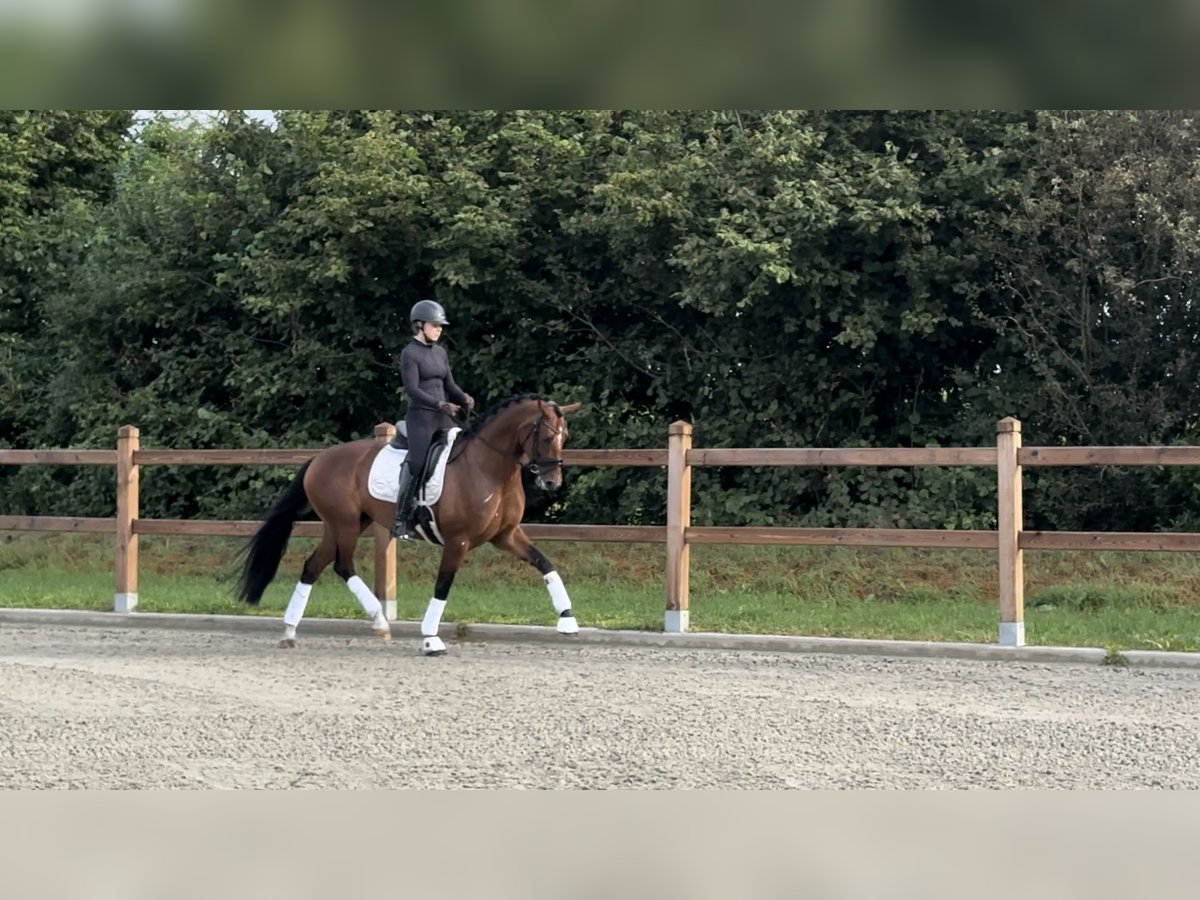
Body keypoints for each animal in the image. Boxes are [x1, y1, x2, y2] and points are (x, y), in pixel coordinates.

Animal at [232, 393, 580, 657]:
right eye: (546, 436)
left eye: (565, 437)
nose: (552, 482)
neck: (488, 468)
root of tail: (319, 459)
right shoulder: (458, 541)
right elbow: (443, 585)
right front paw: (430, 639)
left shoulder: (506, 535)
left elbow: (545, 563)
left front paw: (568, 620)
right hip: (345, 524)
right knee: (343, 565)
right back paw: (379, 622)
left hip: (342, 525)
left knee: (313, 566)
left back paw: (290, 631)